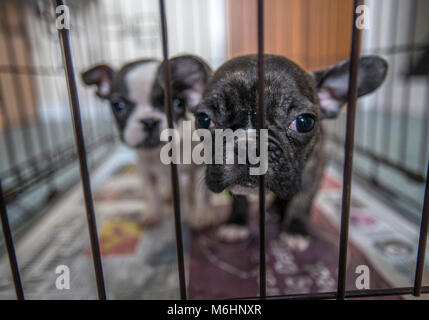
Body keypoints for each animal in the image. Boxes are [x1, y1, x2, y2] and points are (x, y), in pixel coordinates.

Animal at [80, 54, 214, 228]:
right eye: (118, 105)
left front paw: (201, 216)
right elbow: (150, 193)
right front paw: (152, 214)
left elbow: (200, 194)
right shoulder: (145, 171)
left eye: (177, 103)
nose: (149, 121)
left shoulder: (199, 167)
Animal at [194, 54, 388, 250]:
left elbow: (302, 201)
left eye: (304, 122)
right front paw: (236, 222)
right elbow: (239, 199)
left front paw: (295, 229)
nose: (248, 148)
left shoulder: (313, 171)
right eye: (203, 120)